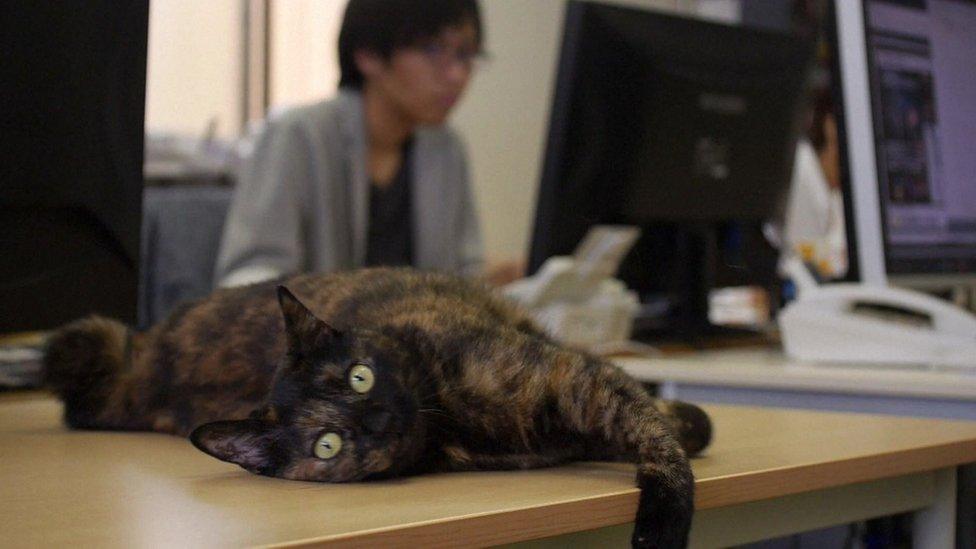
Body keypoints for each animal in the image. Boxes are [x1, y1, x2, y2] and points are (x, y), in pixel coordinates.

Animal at [43, 268, 708, 544]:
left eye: (360, 377)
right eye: (327, 444)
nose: (379, 419)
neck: (453, 420)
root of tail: (143, 355)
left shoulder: (575, 379)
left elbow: (656, 430)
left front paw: (666, 511)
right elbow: (656, 424)